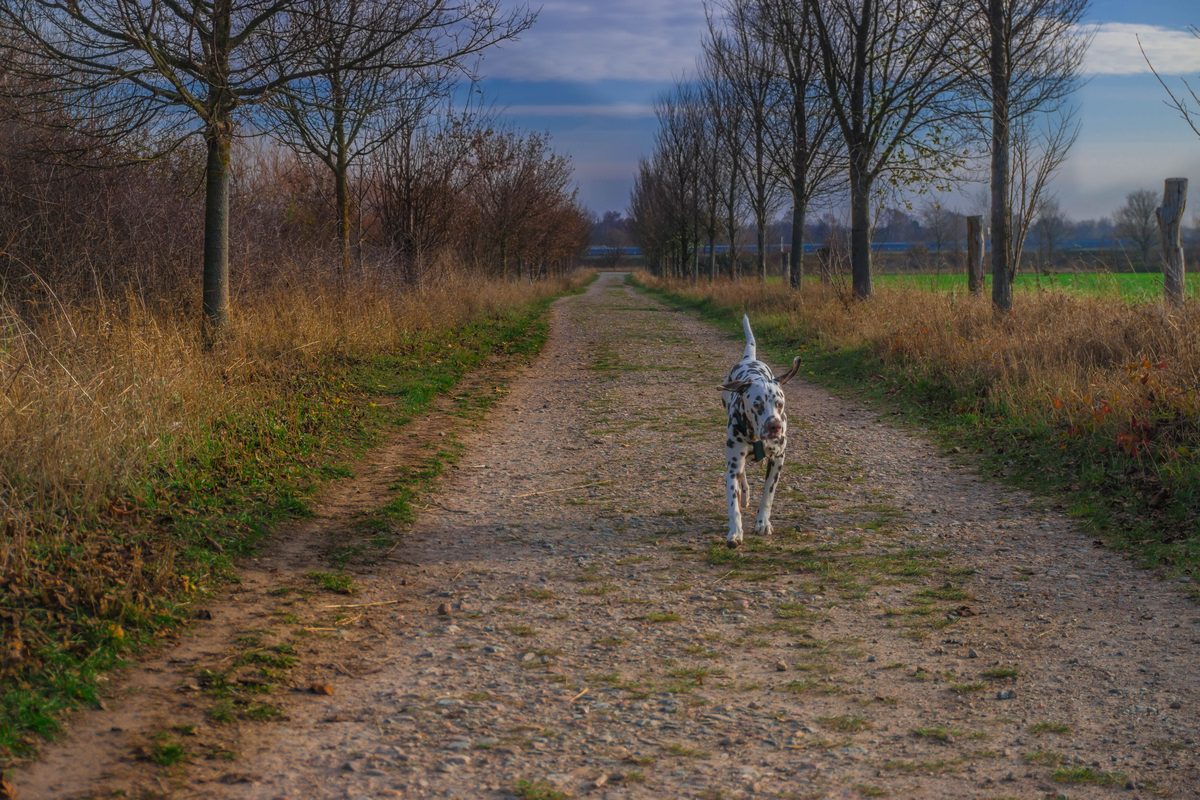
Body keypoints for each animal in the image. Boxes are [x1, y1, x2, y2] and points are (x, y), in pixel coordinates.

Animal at [715, 316, 801, 546]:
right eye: (757, 405)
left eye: (779, 403)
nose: (775, 427)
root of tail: (749, 358)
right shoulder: (732, 466)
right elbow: (732, 502)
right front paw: (735, 532)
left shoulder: (778, 460)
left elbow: (767, 495)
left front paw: (762, 523)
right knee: (742, 476)